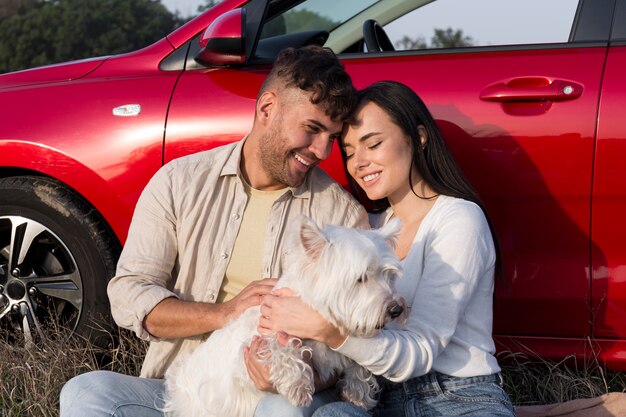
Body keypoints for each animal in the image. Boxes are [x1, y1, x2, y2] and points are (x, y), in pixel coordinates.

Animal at [162, 214, 404, 416]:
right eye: (361, 278)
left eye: (388, 274)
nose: (396, 309)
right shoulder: (253, 348)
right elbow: (282, 348)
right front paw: (298, 388)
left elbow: (360, 365)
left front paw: (357, 394)